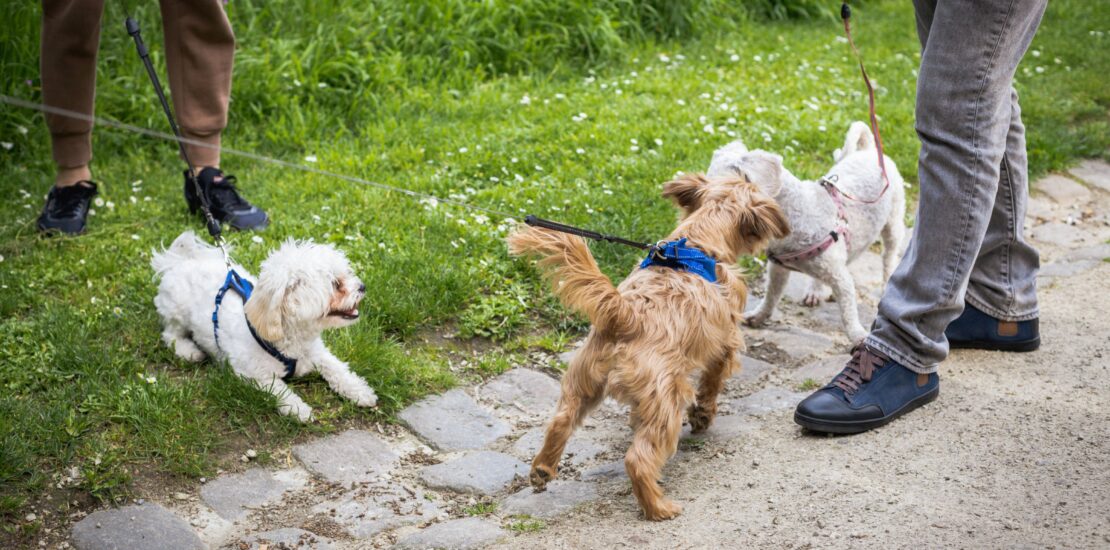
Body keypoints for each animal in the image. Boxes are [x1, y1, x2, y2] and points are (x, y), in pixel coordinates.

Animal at [152, 232, 377, 422]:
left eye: (346, 274)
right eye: (335, 284)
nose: (363, 286)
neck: (292, 338)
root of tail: (181, 261)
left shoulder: (318, 353)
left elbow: (338, 368)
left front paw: (359, 390)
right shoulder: (253, 374)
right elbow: (279, 389)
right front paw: (299, 409)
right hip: (177, 311)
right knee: (169, 334)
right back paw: (188, 351)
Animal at [710, 122, 901, 342]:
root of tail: (869, 150)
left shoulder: (841, 279)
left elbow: (848, 311)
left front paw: (858, 335)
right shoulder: (778, 269)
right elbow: (771, 296)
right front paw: (759, 316)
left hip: (893, 223)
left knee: (889, 256)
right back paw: (815, 291)